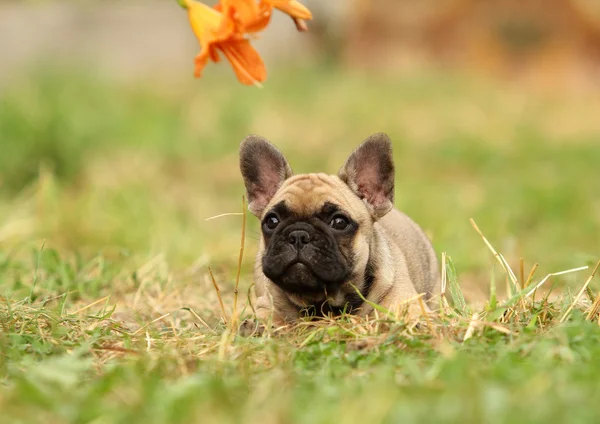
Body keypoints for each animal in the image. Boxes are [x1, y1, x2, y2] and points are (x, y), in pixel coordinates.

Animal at [239, 132, 440, 328]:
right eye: (272, 221)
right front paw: (257, 326)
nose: (298, 235)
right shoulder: (266, 303)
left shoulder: (405, 299)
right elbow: (270, 315)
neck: (322, 301)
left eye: (339, 222)